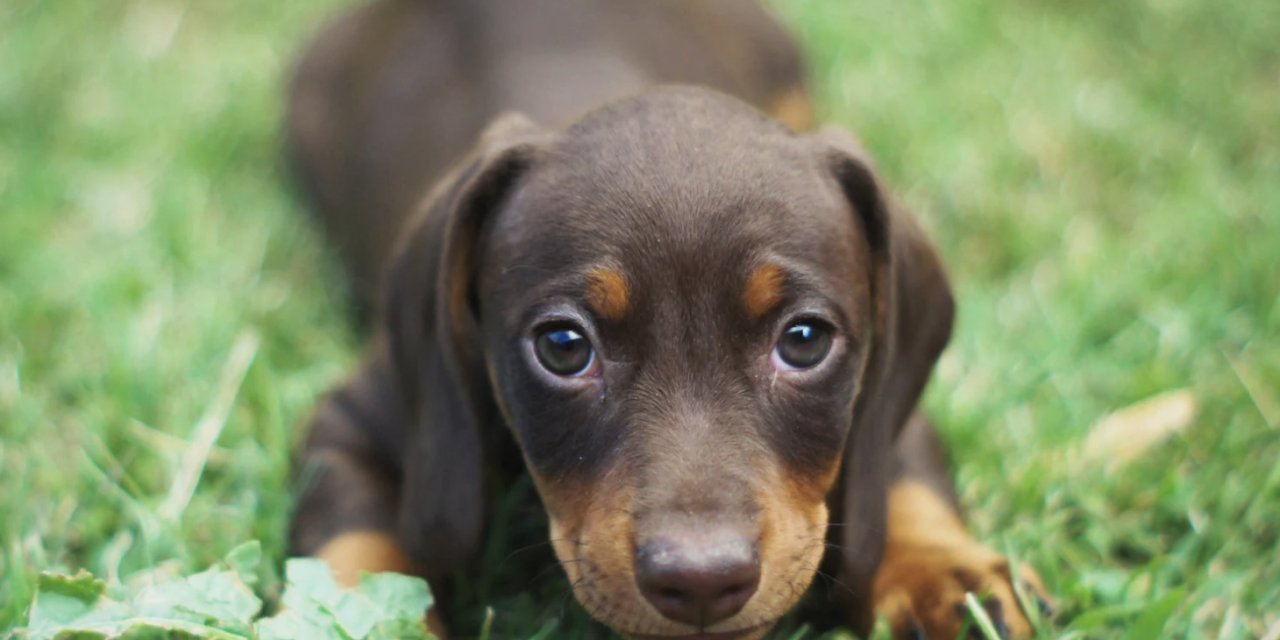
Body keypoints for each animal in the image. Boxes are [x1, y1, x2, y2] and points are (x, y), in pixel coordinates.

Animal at [288, 0, 1049, 637]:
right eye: (563, 346)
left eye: (804, 341)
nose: (702, 582)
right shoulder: (353, 422)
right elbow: (353, 552)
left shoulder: (881, 396)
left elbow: (907, 482)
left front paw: (942, 578)